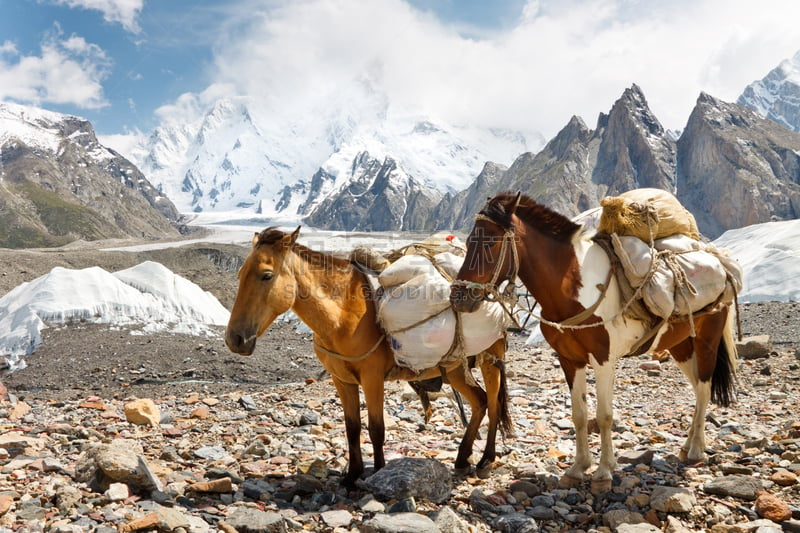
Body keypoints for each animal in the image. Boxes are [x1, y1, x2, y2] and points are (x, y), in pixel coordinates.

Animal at [225, 227, 512, 484]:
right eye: (240, 273)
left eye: (266, 275)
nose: (235, 339)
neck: (343, 315)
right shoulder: (342, 380)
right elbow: (352, 428)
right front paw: (352, 475)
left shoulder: (372, 378)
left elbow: (376, 429)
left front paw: (378, 472)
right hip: (454, 368)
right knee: (480, 401)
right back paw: (463, 458)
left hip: (491, 358)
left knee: (494, 403)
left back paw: (486, 458)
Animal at [450, 190, 736, 490]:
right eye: (468, 241)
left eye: (491, 242)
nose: (458, 297)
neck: (572, 287)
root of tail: (720, 265)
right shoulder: (570, 360)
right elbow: (579, 415)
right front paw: (578, 468)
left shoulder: (603, 359)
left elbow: (604, 416)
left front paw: (603, 473)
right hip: (680, 345)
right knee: (696, 386)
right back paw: (686, 445)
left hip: (707, 339)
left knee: (704, 388)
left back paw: (696, 450)